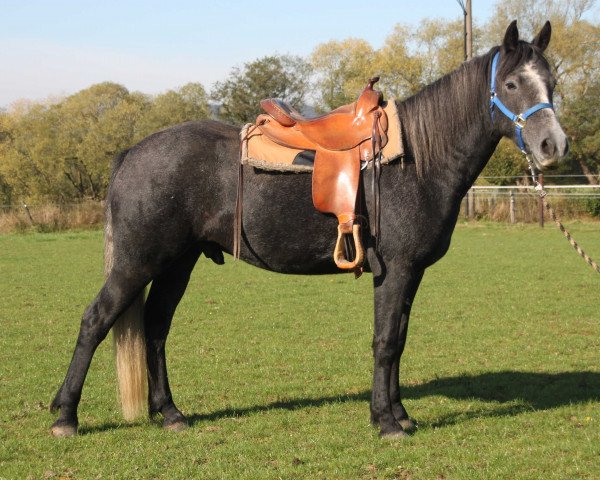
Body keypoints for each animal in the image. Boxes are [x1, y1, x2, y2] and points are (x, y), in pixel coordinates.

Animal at [50, 21, 568, 438]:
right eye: (511, 82)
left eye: (552, 82)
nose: (553, 145)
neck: (417, 160)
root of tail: (131, 153)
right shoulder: (395, 270)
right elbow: (385, 342)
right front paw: (385, 422)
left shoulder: (412, 273)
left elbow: (399, 340)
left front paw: (400, 414)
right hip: (138, 262)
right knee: (96, 321)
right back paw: (65, 417)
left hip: (177, 263)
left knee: (156, 327)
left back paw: (171, 413)